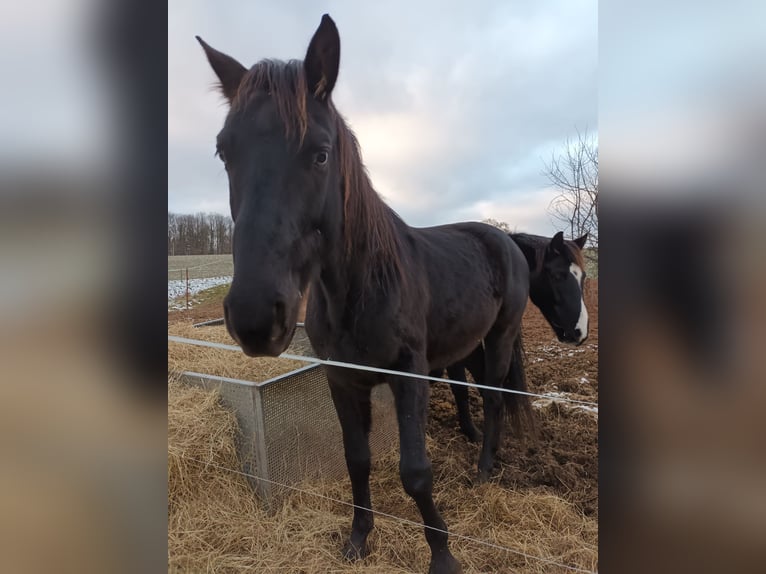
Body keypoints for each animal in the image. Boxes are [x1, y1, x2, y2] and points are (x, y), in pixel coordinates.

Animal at [198, 14, 536, 574]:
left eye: (320, 153)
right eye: (224, 150)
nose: (255, 317)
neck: (359, 288)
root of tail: (502, 237)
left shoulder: (409, 376)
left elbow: (415, 471)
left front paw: (443, 555)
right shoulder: (343, 379)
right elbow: (357, 460)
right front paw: (358, 539)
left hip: (502, 335)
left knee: (493, 397)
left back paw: (485, 469)